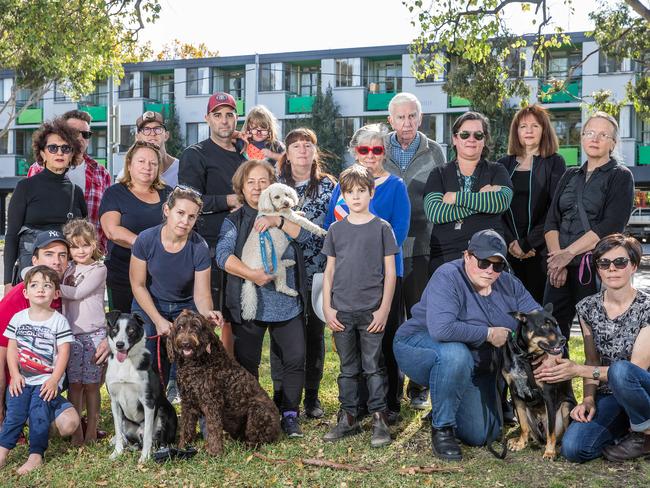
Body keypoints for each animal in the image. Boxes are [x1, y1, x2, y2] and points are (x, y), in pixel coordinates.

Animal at [106, 310, 177, 464]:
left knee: (158, 440)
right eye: (115, 329)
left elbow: (148, 435)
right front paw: (117, 453)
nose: (120, 344)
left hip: (164, 411)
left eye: (131, 330)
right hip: (126, 422)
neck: (126, 362)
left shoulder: (148, 401)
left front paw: (145, 457)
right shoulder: (114, 402)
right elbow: (118, 432)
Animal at [240, 183, 326, 320]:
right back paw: (292, 291)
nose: (286, 203)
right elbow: (308, 224)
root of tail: (249, 277)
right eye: (276, 197)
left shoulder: (289, 213)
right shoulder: (291, 218)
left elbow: (297, 213)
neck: (274, 210)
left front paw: (300, 211)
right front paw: (321, 231)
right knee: (280, 287)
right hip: (276, 269)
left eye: (287, 194)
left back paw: (288, 262)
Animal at [502, 304, 572, 460]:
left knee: (560, 434)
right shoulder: (515, 394)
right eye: (544, 326)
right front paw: (521, 443)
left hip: (566, 405)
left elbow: (551, 430)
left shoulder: (548, 395)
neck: (526, 357)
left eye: (556, 324)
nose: (563, 339)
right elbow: (523, 425)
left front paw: (550, 452)